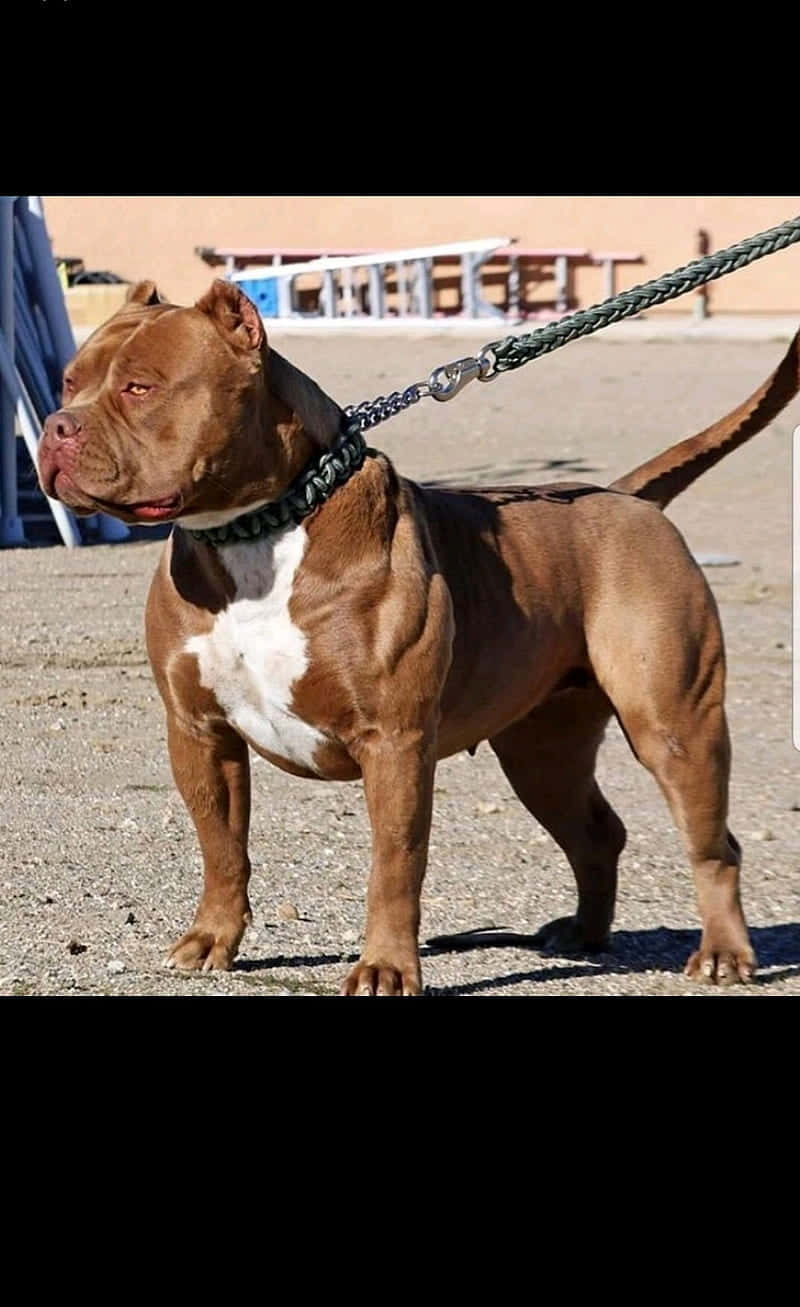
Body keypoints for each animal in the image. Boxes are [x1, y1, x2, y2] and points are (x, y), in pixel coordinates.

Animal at [37, 278, 800, 988]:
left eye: (140, 387)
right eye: (70, 382)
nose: (56, 427)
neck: (256, 531)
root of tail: (626, 495)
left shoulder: (394, 741)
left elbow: (394, 863)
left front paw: (384, 967)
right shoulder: (199, 731)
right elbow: (222, 847)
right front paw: (210, 940)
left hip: (673, 724)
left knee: (713, 843)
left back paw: (723, 953)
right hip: (541, 750)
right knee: (596, 833)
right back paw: (582, 933)